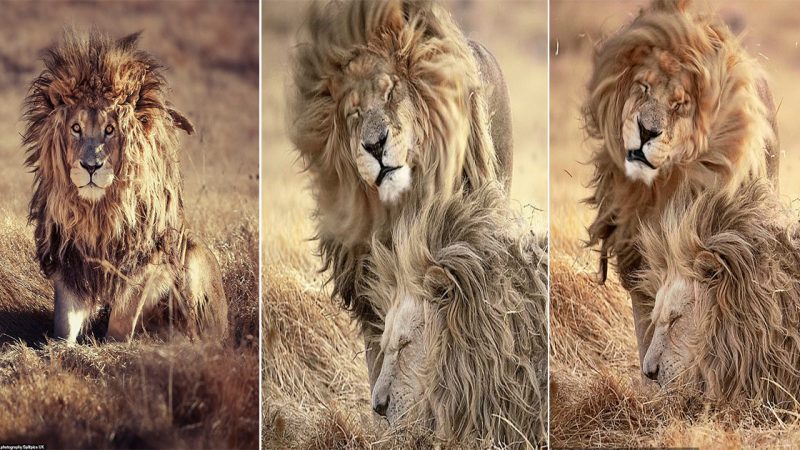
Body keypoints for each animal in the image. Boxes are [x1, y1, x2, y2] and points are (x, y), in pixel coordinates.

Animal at [22, 29, 228, 342]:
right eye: (76, 128)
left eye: (110, 130)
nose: (91, 166)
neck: (96, 214)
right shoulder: (70, 263)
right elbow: (65, 324)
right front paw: (59, 347)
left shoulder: (140, 265)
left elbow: (120, 323)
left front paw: (112, 347)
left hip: (191, 257)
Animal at [584, 0, 780, 366]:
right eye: (643, 87)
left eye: (680, 105)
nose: (646, 131)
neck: (662, 191)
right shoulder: (638, 266)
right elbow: (649, 333)